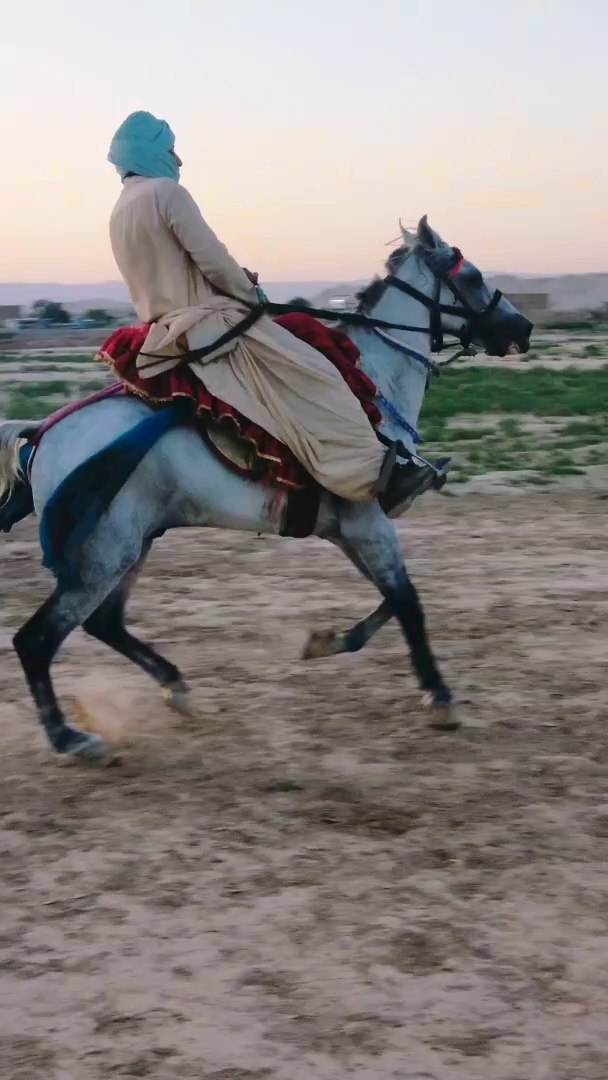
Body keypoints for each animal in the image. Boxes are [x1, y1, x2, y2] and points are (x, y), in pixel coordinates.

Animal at [0, 216, 532, 761]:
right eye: (471, 277)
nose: (522, 329)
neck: (372, 382)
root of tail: (41, 434)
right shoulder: (368, 522)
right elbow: (408, 601)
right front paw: (439, 697)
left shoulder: (347, 529)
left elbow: (393, 596)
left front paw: (327, 641)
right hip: (107, 552)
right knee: (36, 640)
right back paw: (69, 736)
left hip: (133, 542)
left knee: (103, 623)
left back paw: (174, 687)